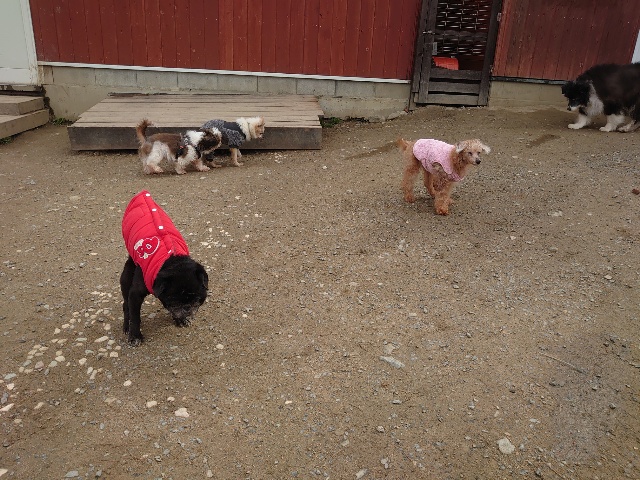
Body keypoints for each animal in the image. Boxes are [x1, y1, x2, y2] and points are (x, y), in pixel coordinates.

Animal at [120, 190, 209, 345]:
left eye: (197, 298)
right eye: (173, 299)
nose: (187, 307)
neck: (172, 260)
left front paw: (181, 319)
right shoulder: (135, 294)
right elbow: (135, 317)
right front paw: (135, 335)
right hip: (126, 277)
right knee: (126, 306)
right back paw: (126, 326)